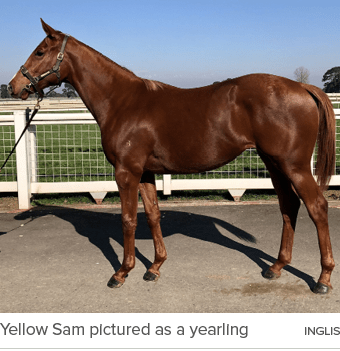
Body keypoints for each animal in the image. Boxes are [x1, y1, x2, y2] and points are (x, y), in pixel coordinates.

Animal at [7, 19, 334, 294]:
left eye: (39, 52)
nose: (13, 86)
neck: (122, 102)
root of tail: (302, 86)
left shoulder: (126, 172)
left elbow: (128, 220)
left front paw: (122, 273)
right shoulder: (145, 172)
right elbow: (152, 216)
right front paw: (154, 267)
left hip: (294, 166)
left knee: (317, 207)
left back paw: (323, 278)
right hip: (274, 164)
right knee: (289, 206)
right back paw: (276, 267)